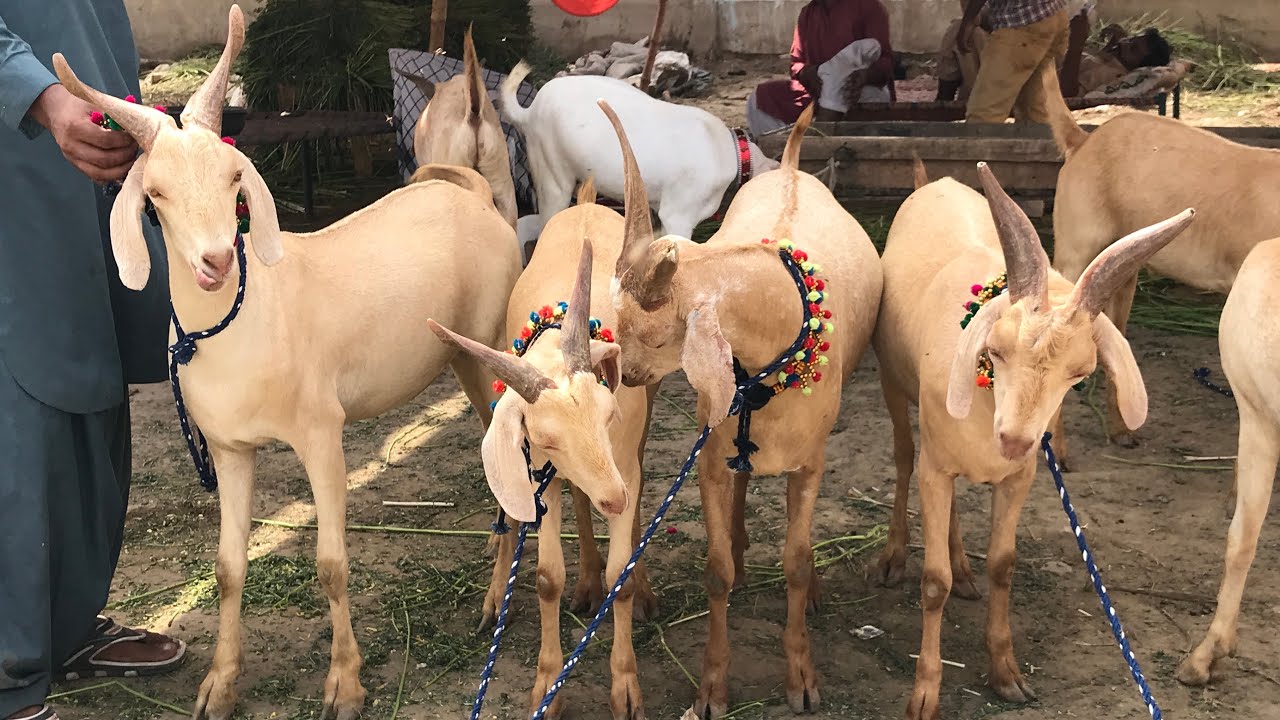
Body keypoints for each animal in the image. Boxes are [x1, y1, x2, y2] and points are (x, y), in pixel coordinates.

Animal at [428, 177, 659, 718]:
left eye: (608, 413)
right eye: (546, 437)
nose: (613, 499)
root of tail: (587, 203)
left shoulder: (620, 460)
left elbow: (621, 572)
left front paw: (625, 687)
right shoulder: (544, 475)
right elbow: (548, 577)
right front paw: (546, 687)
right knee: (579, 498)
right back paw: (587, 580)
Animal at [606, 101, 883, 718]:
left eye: (653, 334)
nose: (622, 376)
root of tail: (791, 167)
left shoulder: (809, 463)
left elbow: (797, 563)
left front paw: (801, 678)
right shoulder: (709, 454)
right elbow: (717, 572)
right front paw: (711, 690)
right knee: (742, 479)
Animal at [872, 158, 1193, 719]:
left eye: (1081, 372)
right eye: (995, 349)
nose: (1016, 438)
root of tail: (934, 183)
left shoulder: (1017, 476)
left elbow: (1004, 566)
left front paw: (1006, 672)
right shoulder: (937, 468)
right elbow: (933, 582)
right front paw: (925, 694)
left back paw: (965, 568)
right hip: (894, 383)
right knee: (904, 455)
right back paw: (894, 556)